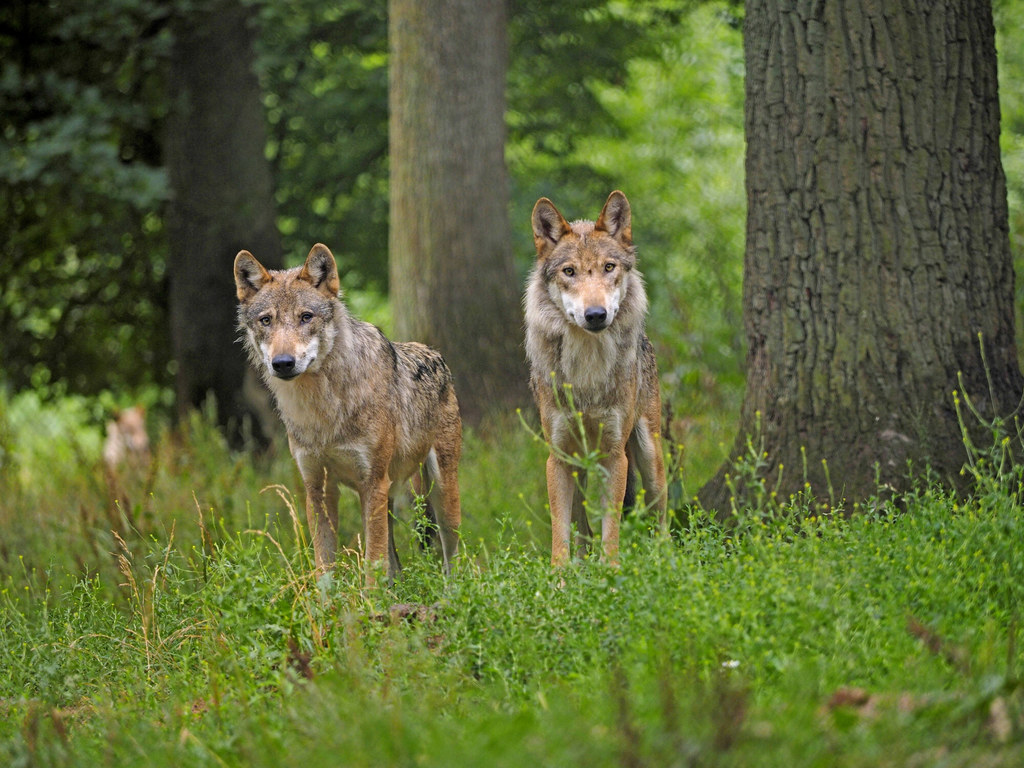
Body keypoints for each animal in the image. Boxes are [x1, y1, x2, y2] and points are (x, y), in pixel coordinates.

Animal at [232, 243, 460, 585]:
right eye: (266, 320)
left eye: (306, 317)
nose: (283, 363)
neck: (322, 412)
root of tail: (435, 353)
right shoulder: (318, 489)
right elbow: (325, 570)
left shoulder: (372, 482)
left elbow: (372, 565)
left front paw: (370, 599)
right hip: (386, 497)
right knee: (396, 565)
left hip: (439, 494)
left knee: (452, 559)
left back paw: (454, 593)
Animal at [524, 191, 667, 565]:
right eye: (569, 271)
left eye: (609, 267)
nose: (596, 314)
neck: (587, 371)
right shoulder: (558, 457)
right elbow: (560, 533)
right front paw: (560, 576)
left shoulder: (615, 455)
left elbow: (611, 529)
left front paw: (611, 572)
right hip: (579, 465)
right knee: (581, 525)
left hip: (648, 456)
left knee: (660, 516)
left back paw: (666, 560)